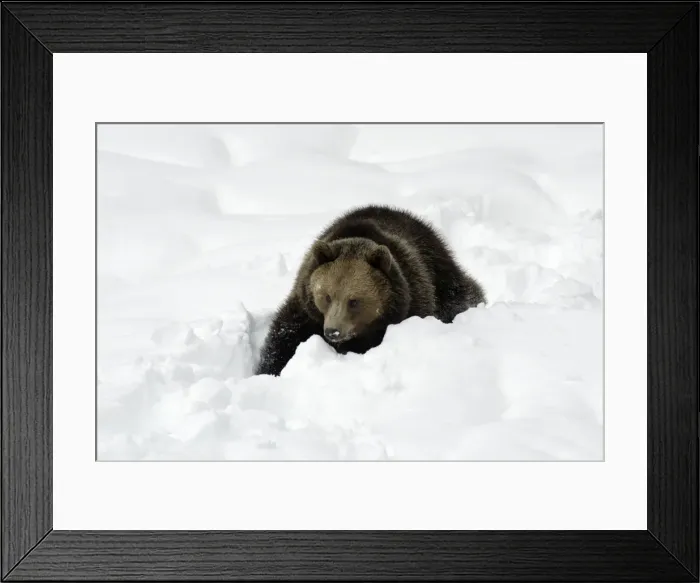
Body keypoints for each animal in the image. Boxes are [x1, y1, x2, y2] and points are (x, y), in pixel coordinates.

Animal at [254, 205, 486, 376]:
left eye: (354, 301)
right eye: (326, 296)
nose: (333, 332)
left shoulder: (411, 300)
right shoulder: (305, 309)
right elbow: (283, 341)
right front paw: (271, 371)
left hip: (439, 271)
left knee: (460, 297)